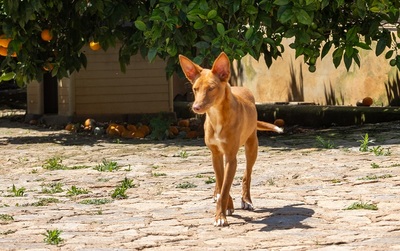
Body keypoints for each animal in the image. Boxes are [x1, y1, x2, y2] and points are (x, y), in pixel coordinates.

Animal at [180, 52, 282, 226]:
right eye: (195, 89)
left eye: (211, 88)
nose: (196, 107)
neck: (217, 117)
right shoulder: (215, 154)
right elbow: (222, 184)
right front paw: (226, 206)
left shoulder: (231, 157)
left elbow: (226, 186)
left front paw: (221, 215)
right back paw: (216, 194)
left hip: (252, 147)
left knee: (247, 175)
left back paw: (246, 200)